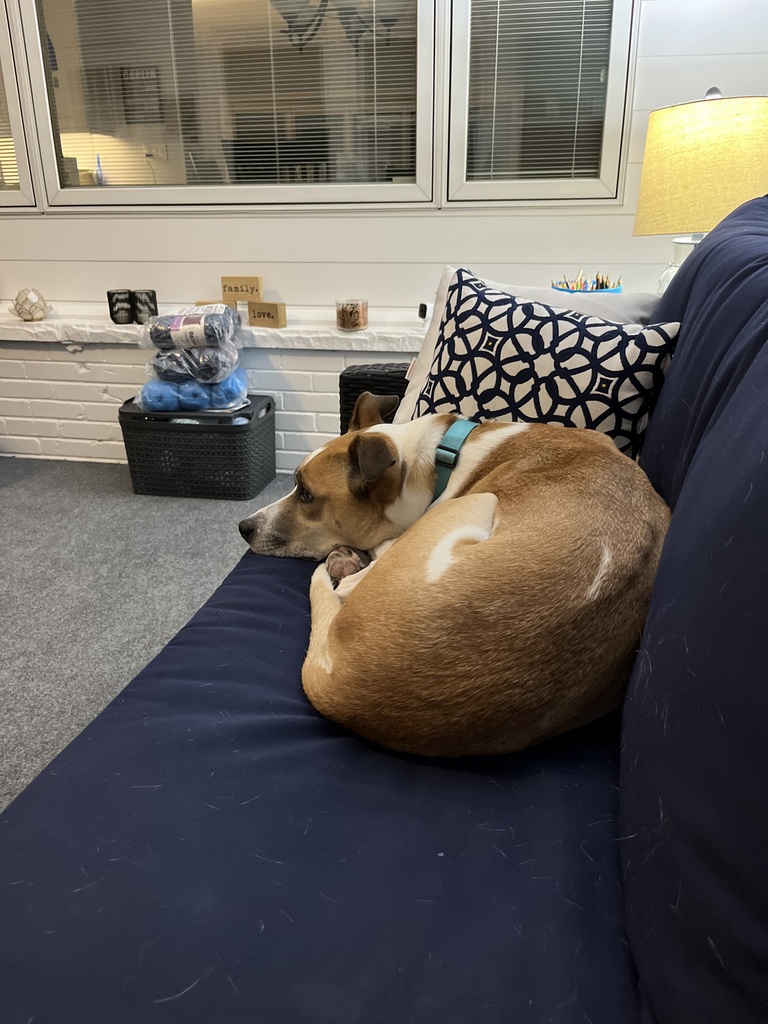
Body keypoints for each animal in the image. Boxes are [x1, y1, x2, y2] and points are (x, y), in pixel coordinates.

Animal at [239, 393, 670, 758]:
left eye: (306, 494)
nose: (243, 527)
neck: (436, 462)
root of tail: (342, 689)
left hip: (481, 501)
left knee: (348, 583)